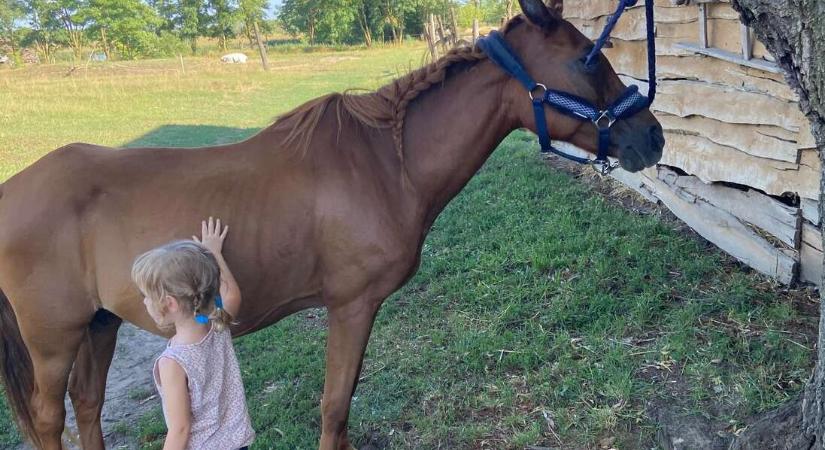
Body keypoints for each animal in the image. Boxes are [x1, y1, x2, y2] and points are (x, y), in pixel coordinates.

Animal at [0, 0, 660, 448]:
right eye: (587, 58)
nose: (651, 136)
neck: (386, 163)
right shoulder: (352, 305)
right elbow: (335, 405)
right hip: (55, 338)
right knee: (51, 418)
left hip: (100, 324)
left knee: (88, 405)